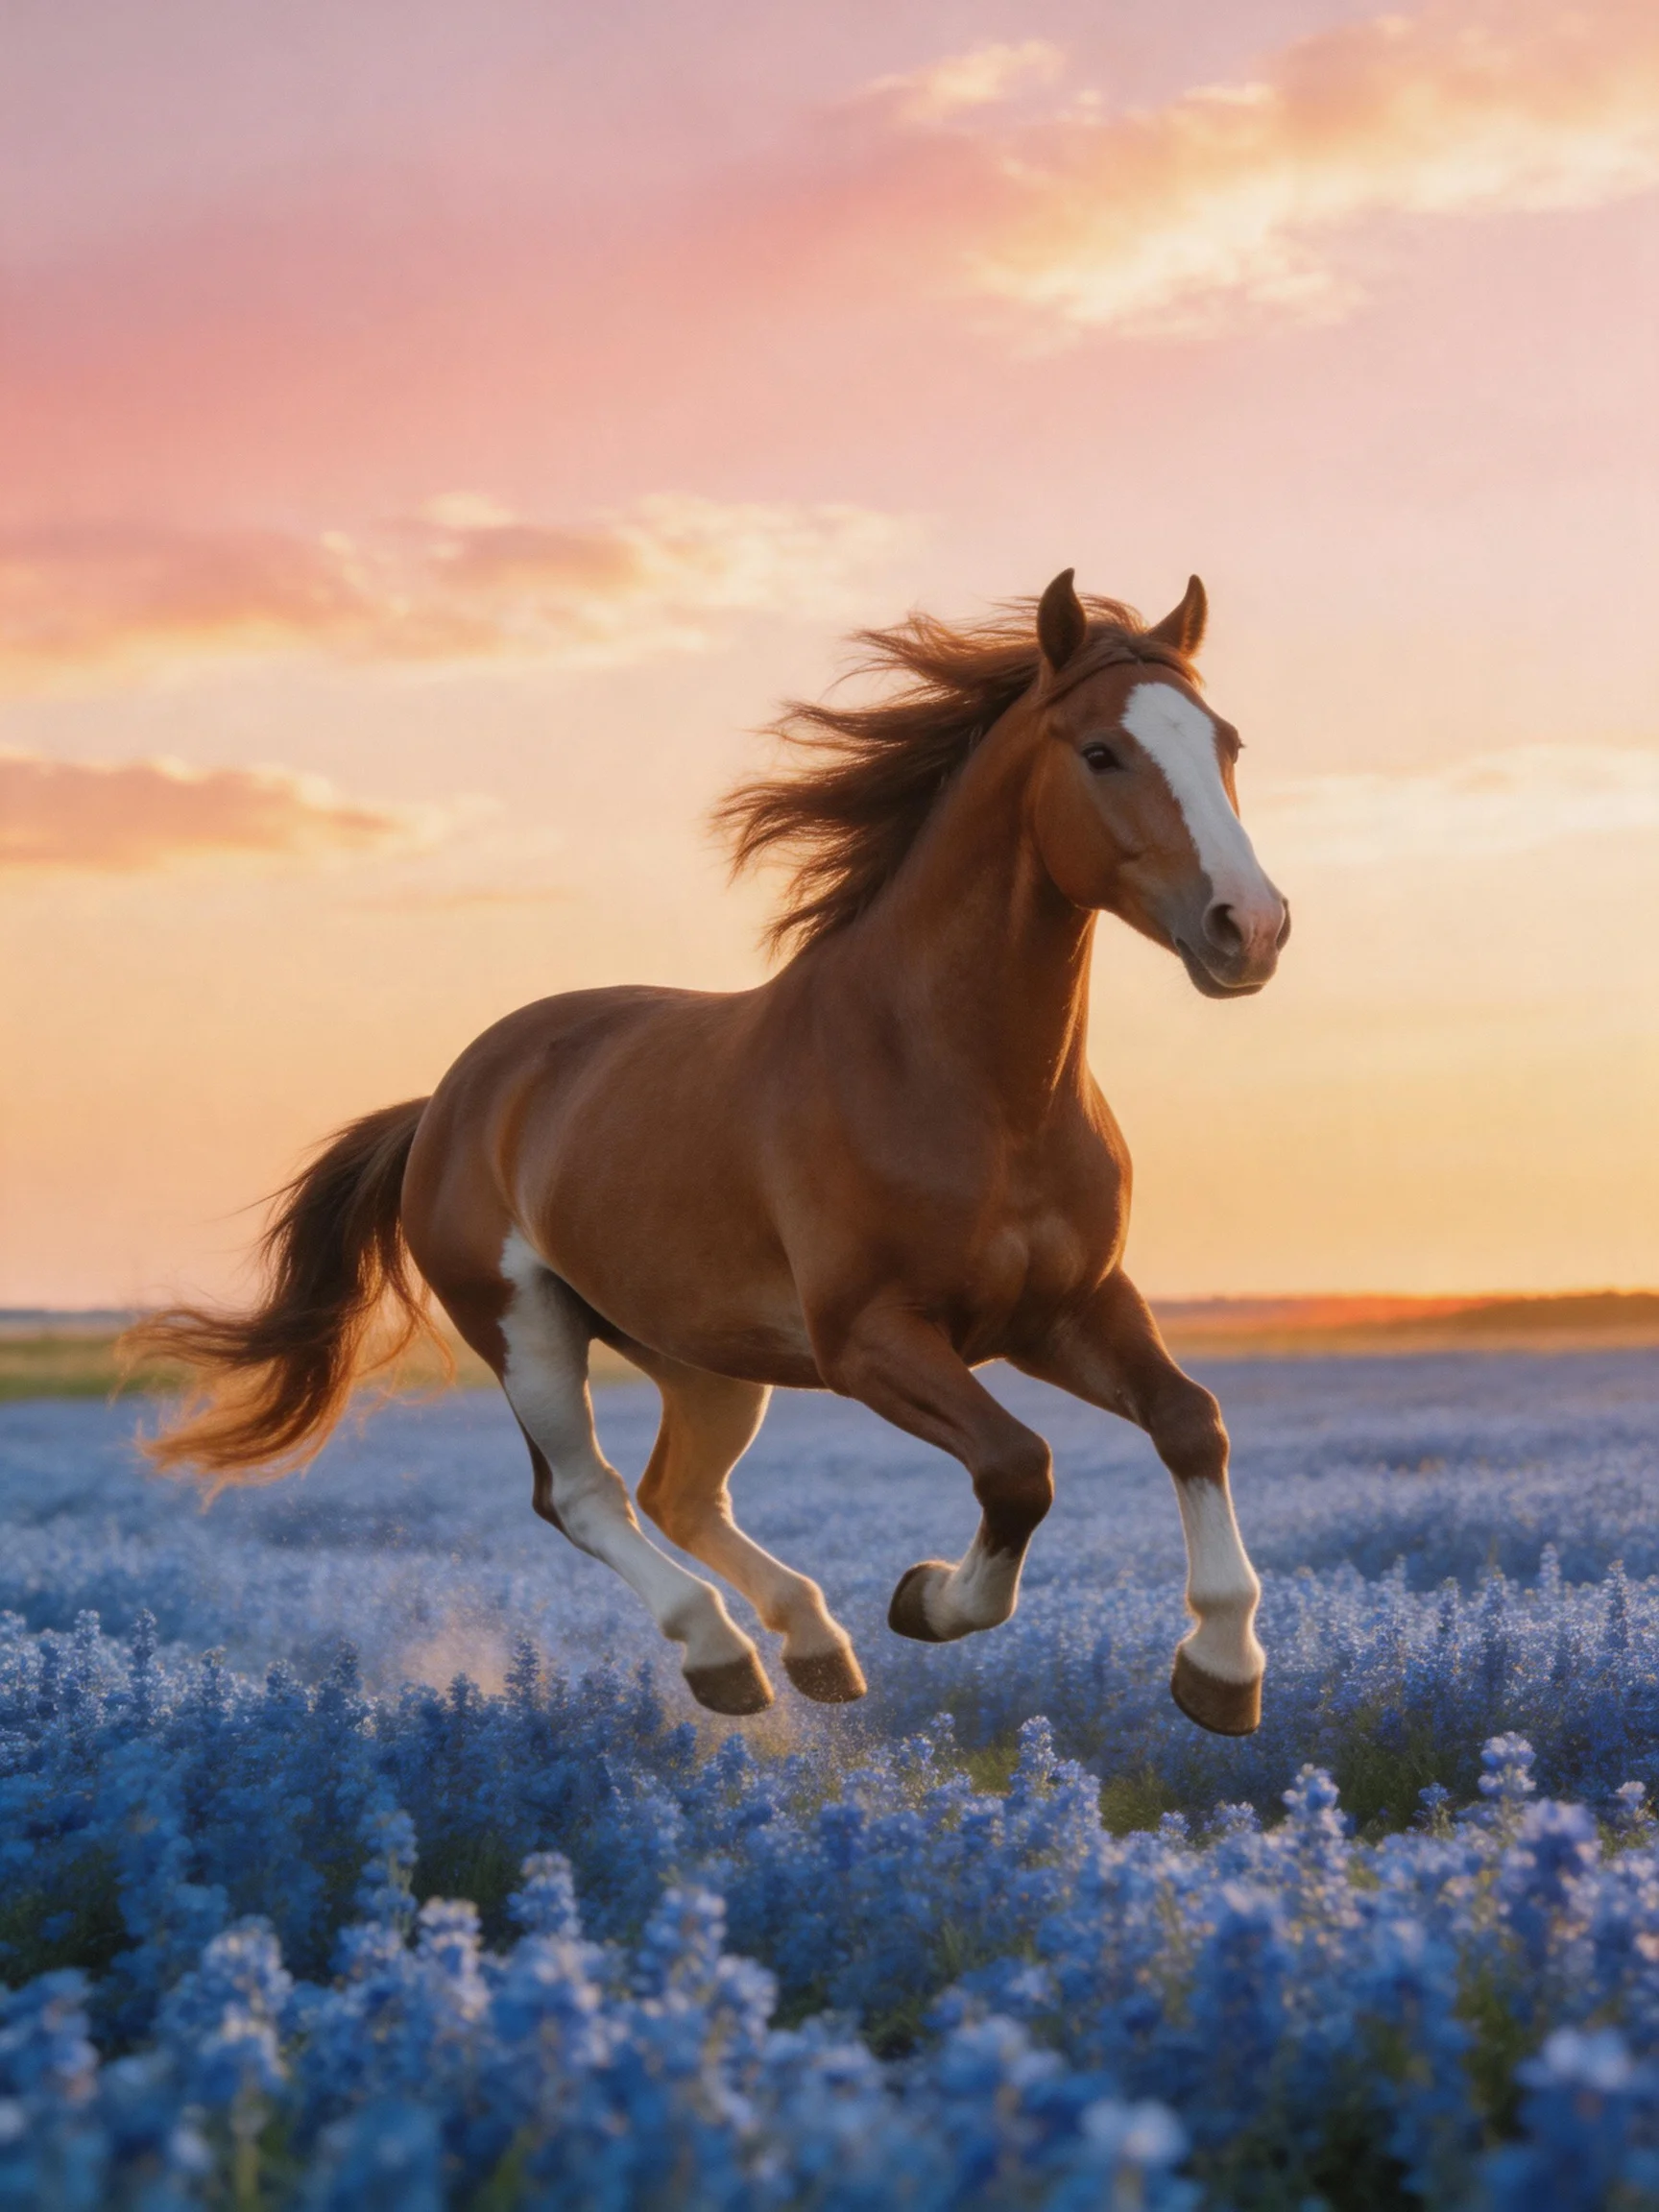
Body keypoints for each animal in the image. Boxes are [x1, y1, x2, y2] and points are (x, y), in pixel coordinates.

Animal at [128, 568, 1290, 1734]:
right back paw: (724, 1654)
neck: (974, 1088)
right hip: (526, 1331)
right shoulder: (869, 1339)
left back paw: (814, 1646)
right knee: (585, 1495)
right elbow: (1018, 1465)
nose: (1251, 927)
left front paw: (1222, 1667)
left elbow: (1192, 1422)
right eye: (1101, 752)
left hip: (703, 1356)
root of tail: (449, 1100)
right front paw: (924, 1599)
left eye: (1228, 742)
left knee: (678, 1492)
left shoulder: (1067, 1309)